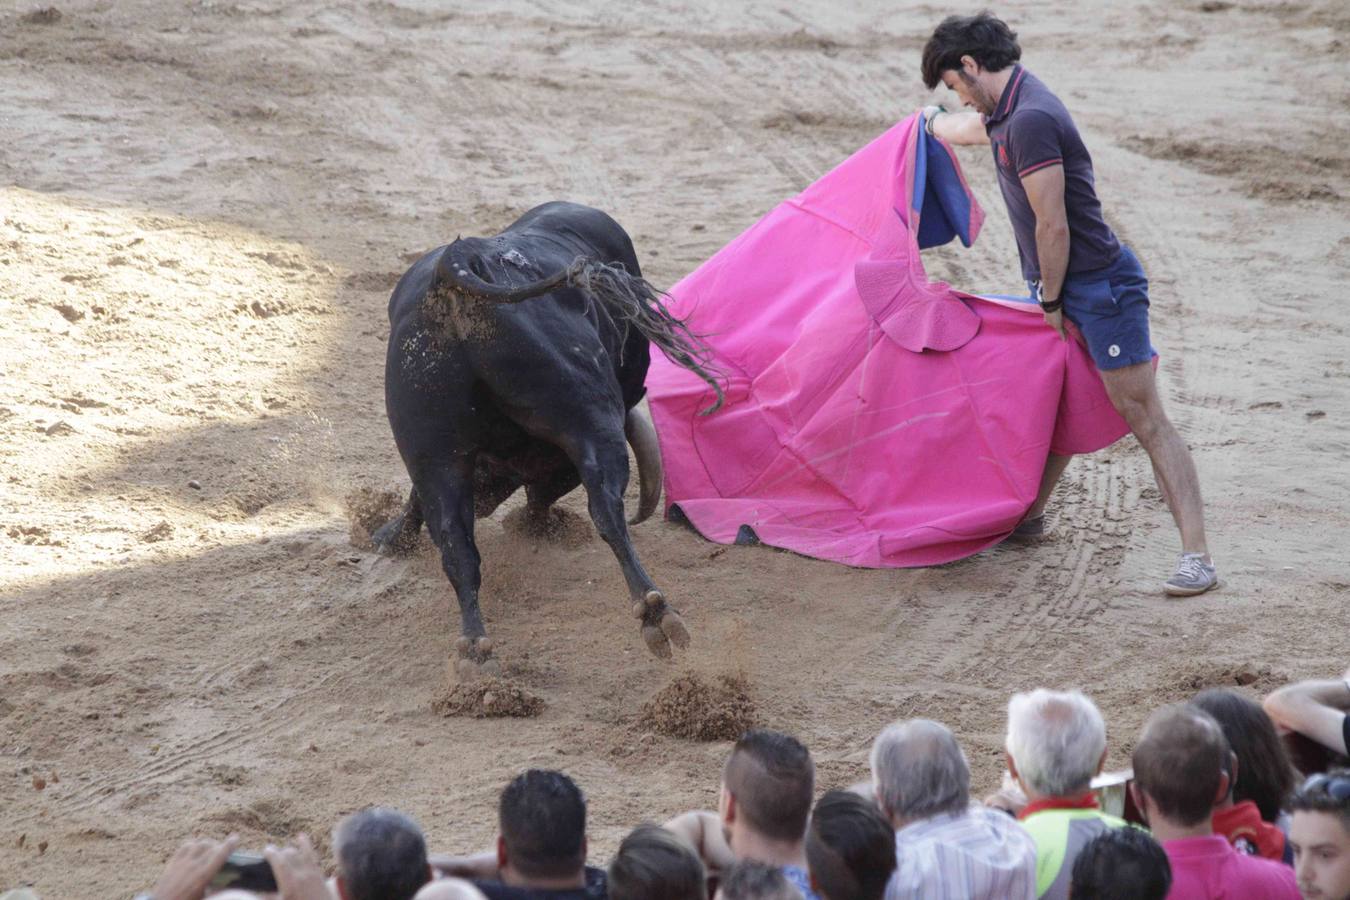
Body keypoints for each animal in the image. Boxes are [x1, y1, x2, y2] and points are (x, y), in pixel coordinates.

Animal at [375, 198, 723, 674]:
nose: (484, 501)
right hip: (589, 418)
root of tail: (456, 265)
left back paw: (475, 650)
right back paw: (655, 612)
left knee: (456, 547)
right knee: (606, 510)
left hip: (433, 452)